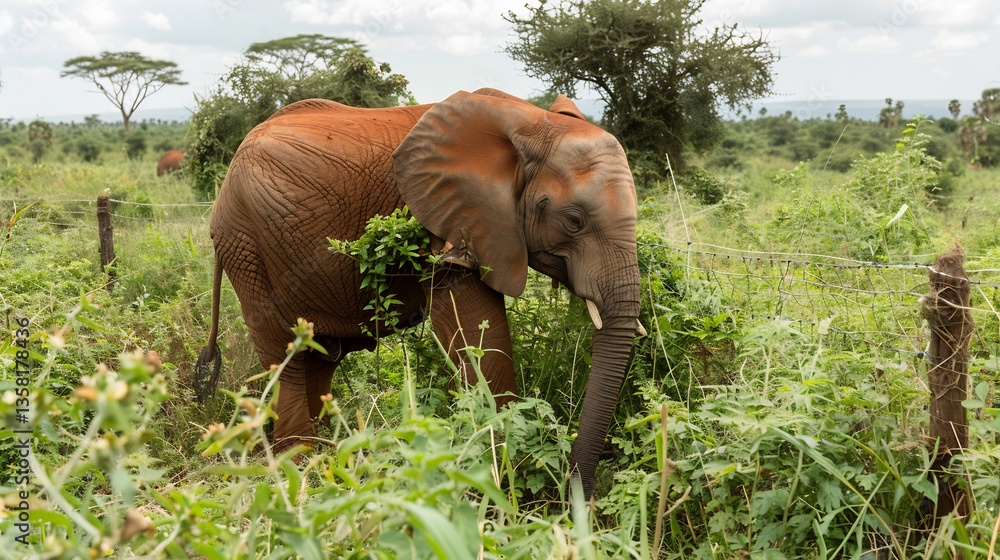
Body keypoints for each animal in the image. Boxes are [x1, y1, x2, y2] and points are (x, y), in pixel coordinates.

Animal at [195, 88, 641, 499]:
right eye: (574, 221)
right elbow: (476, 331)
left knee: (319, 357)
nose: (577, 499)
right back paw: (301, 464)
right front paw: (499, 473)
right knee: (284, 354)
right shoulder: (440, 224)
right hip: (245, 246)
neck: (529, 122)